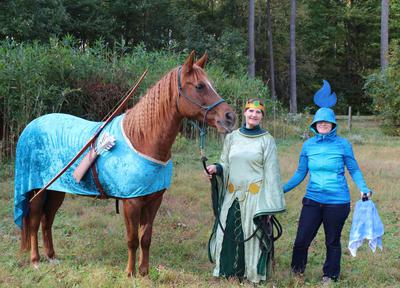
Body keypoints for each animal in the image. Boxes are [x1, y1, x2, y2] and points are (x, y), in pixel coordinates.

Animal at [14, 51, 236, 276]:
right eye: (200, 86)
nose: (230, 117)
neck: (142, 140)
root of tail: (30, 127)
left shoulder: (154, 200)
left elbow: (146, 238)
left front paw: (144, 272)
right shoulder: (132, 202)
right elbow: (132, 239)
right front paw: (130, 273)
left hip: (57, 190)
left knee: (47, 220)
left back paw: (51, 257)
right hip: (37, 191)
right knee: (34, 221)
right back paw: (35, 260)